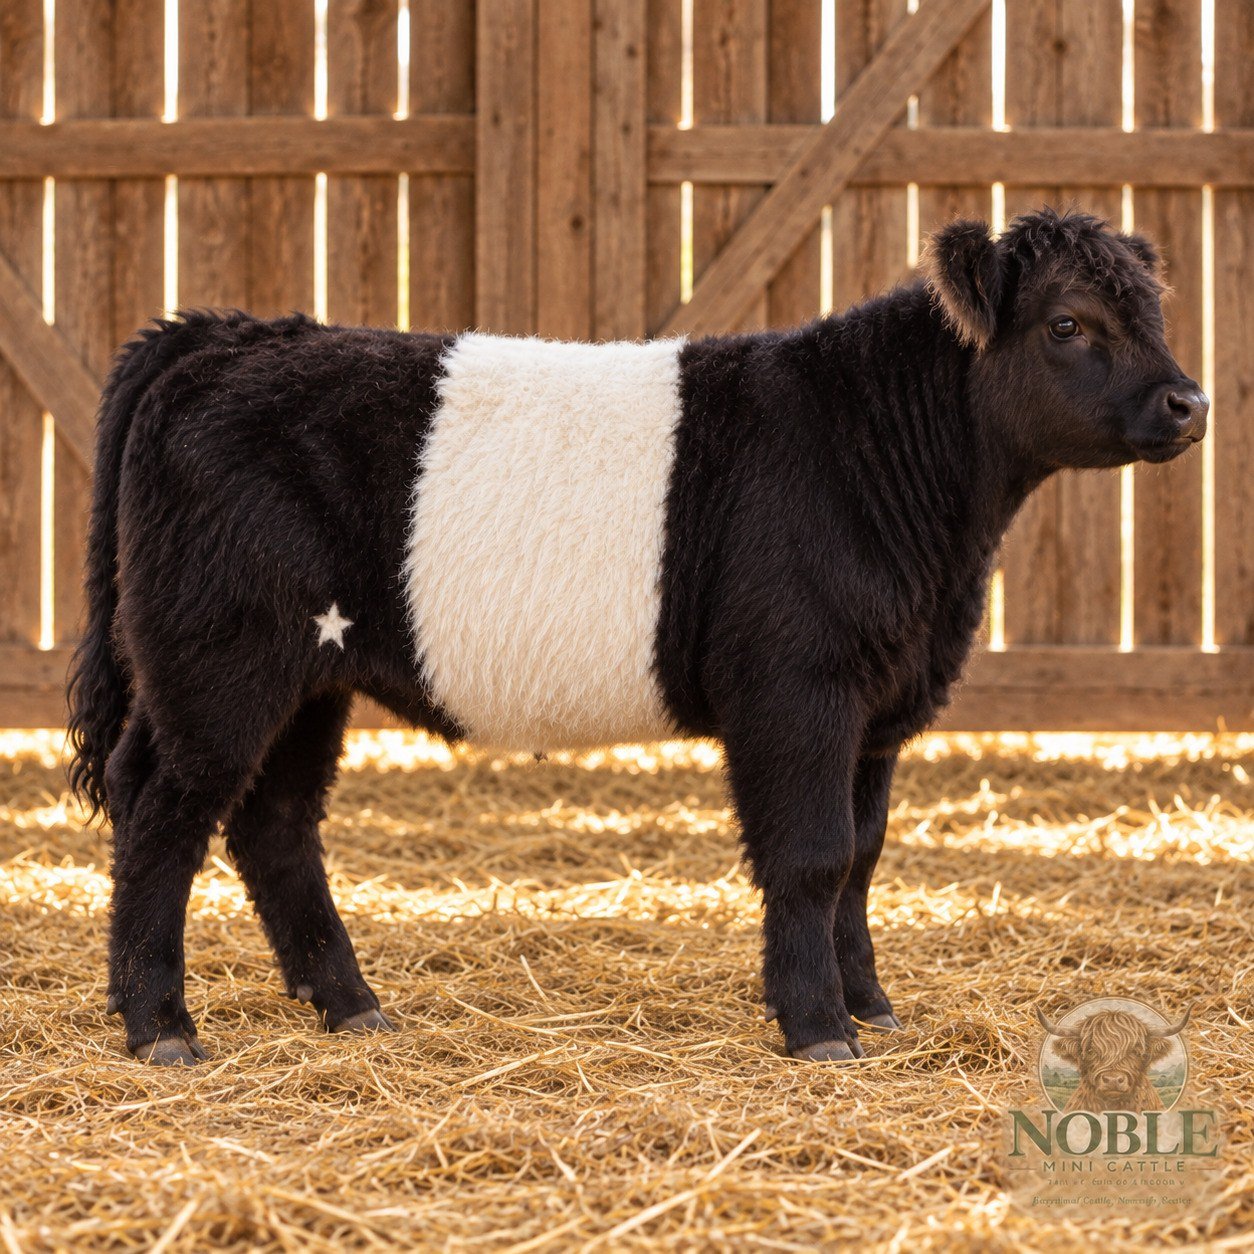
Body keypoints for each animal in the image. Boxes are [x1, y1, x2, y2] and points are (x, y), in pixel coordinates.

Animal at [66, 208, 1208, 1065]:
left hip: (314, 671)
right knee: (162, 809)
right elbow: (809, 857)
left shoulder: (880, 708)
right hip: (218, 659)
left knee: (276, 823)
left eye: (1153, 310)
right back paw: (162, 1029)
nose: (1189, 401)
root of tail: (227, 333)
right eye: (1068, 323)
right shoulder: (796, 690)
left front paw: (874, 1009)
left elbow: (861, 856)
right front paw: (818, 1029)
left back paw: (351, 1007)